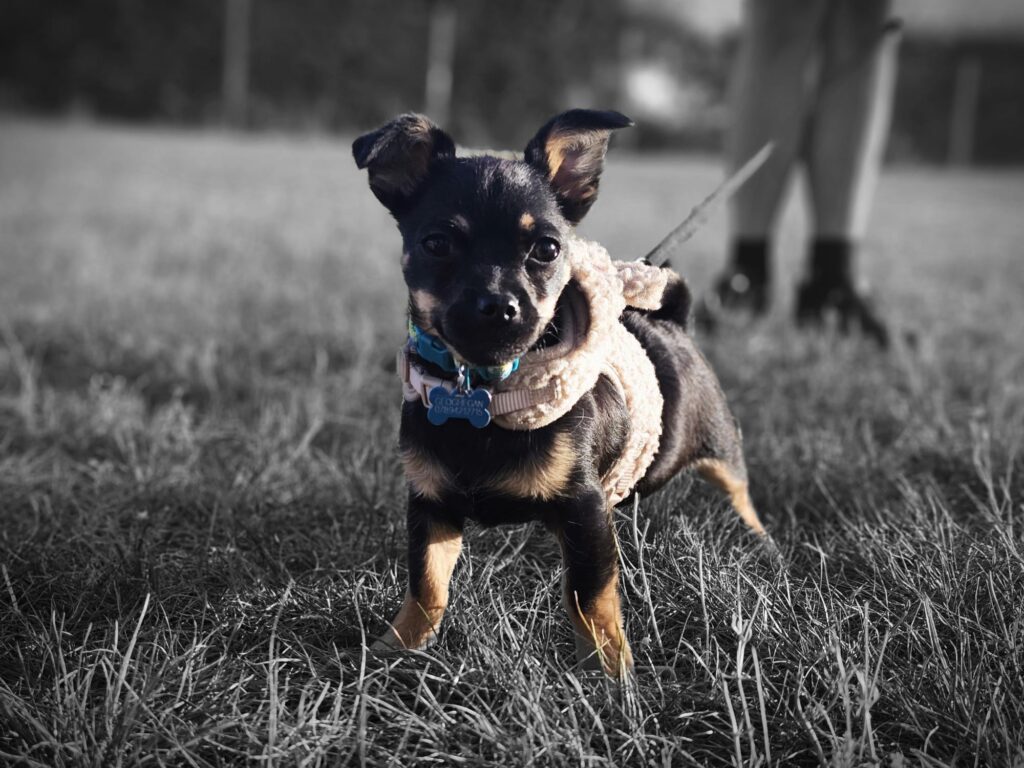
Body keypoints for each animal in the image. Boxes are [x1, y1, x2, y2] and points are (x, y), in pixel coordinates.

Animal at [352, 109, 766, 676]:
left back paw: (763, 546)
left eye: (547, 250)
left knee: (741, 498)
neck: (486, 390)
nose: (498, 305)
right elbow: (428, 585)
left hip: (721, 452)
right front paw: (397, 648)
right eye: (436, 244)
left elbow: (590, 597)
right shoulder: (431, 505)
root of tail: (674, 324)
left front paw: (610, 673)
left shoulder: (584, 509)